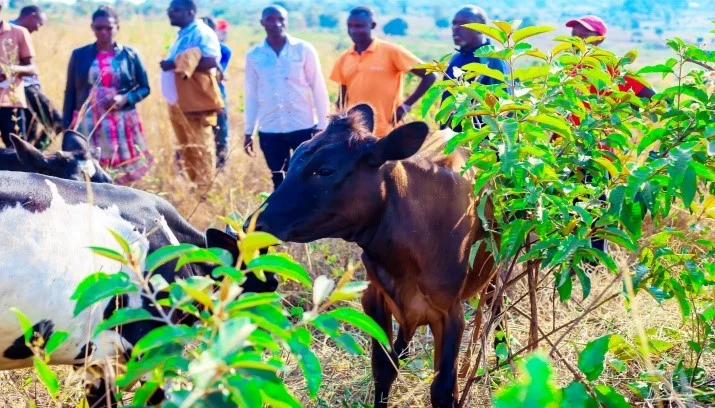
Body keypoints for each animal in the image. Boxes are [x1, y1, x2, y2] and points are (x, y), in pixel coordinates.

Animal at [249, 105, 498, 408]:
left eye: (325, 170)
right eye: (294, 157)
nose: (255, 224)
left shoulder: (450, 313)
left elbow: (442, 387)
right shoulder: (374, 297)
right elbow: (383, 367)